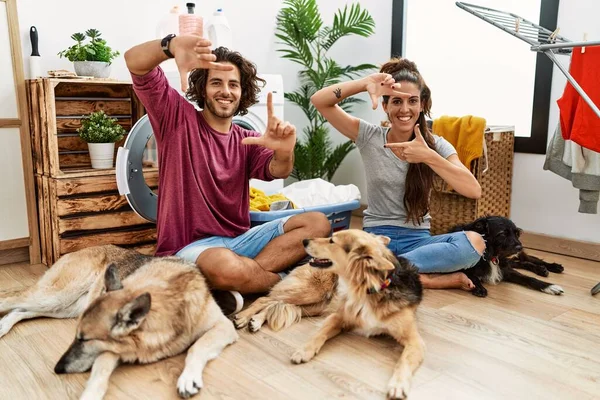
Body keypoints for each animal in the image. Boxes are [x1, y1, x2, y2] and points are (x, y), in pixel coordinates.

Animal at [0, 245, 239, 398]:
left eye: (83, 340)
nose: (57, 369)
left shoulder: (223, 327)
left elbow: (197, 347)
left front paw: (188, 377)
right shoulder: (109, 350)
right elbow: (100, 372)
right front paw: (90, 394)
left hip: (64, 307)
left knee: (21, 311)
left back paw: (4, 325)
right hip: (56, 296)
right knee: (10, 300)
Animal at [232, 230, 424, 398]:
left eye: (332, 240)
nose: (304, 241)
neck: (368, 289)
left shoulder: (414, 340)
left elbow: (404, 361)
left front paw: (398, 385)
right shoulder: (338, 317)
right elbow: (319, 334)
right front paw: (304, 351)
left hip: (315, 305)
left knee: (276, 304)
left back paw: (256, 320)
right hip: (310, 292)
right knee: (265, 299)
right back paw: (243, 317)